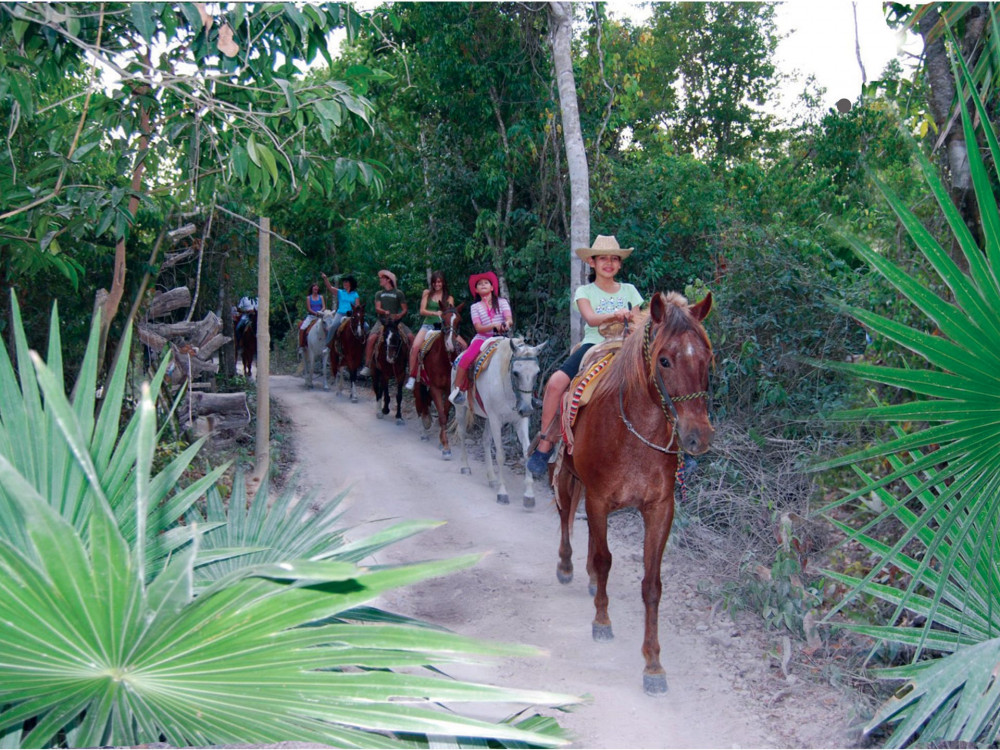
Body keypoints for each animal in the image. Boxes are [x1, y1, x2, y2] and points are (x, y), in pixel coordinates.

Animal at [412, 304, 462, 458]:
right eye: (444, 320)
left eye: (459, 321)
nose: (451, 344)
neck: (444, 360)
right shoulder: (435, 388)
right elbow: (441, 415)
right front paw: (446, 447)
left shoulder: (450, 390)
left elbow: (444, 414)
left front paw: (442, 441)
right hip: (418, 382)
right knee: (419, 403)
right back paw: (424, 430)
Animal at [454, 340, 548, 512]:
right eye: (516, 373)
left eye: (537, 373)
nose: (526, 409)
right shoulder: (496, 419)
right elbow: (500, 455)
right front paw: (502, 493)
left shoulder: (520, 421)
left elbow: (527, 453)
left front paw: (529, 495)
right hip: (461, 408)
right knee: (463, 433)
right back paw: (465, 466)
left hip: (488, 418)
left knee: (485, 440)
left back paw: (492, 478)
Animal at [552, 290, 716, 696]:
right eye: (665, 360)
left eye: (707, 359)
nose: (698, 437)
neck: (637, 432)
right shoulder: (598, 498)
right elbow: (605, 559)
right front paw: (602, 621)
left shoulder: (659, 509)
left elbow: (652, 585)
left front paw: (653, 663)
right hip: (566, 473)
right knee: (565, 514)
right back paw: (567, 565)